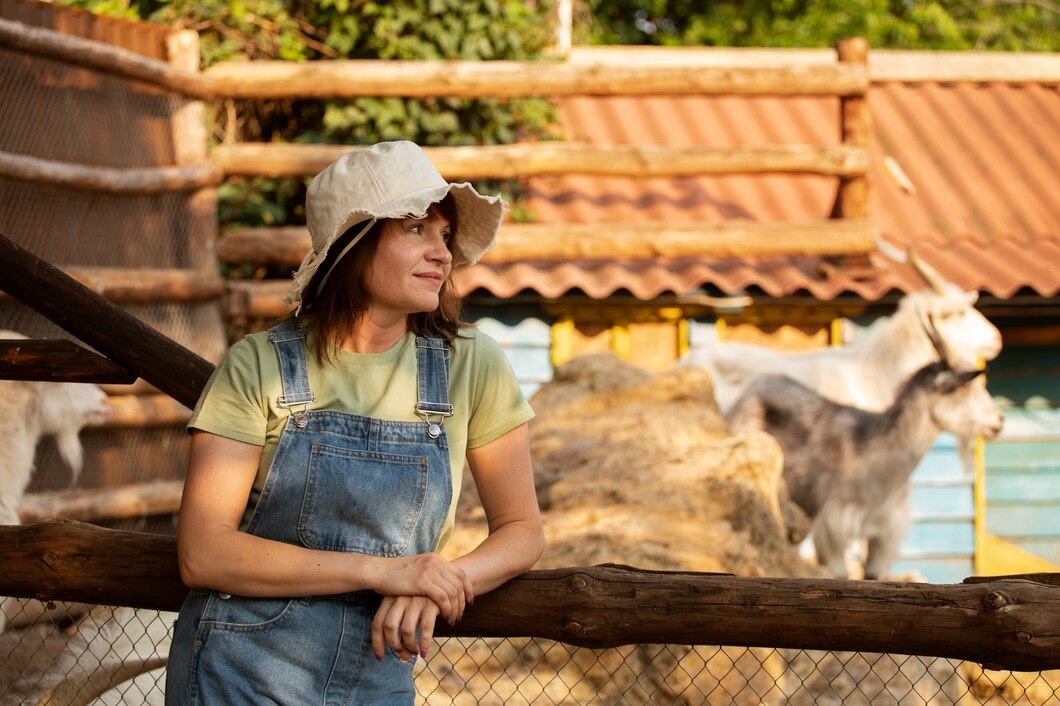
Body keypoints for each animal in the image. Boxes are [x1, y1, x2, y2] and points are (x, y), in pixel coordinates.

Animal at [725, 360, 1004, 576]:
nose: (999, 420)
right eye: (961, 391)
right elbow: (840, 575)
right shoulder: (835, 524)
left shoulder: (885, 531)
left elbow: (872, 576)